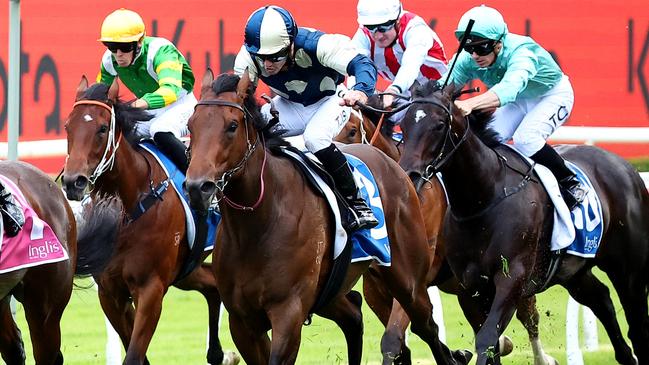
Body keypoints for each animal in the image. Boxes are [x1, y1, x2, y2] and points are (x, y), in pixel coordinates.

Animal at [60, 77, 237, 364]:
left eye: (102, 128)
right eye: (68, 126)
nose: (72, 181)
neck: (129, 211)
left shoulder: (150, 289)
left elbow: (134, 354)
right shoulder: (110, 293)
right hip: (186, 268)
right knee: (212, 286)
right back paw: (218, 353)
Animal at [182, 70, 470, 364]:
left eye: (232, 126)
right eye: (191, 125)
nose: (197, 187)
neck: (257, 224)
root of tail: (397, 168)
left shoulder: (289, 312)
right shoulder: (242, 321)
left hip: (407, 280)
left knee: (427, 327)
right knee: (354, 316)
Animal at [336, 102, 556, 364]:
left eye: (351, 131)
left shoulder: (417, 277)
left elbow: (394, 337)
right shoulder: (375, 288)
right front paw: (458, 354)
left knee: (529, 315)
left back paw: (542, 357)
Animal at [398, 80, 644, 364]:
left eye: (439, 124)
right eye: (404, 123)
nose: (409, 176)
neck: (483, 198)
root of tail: (625, 166)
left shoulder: (512, 278)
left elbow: (487, 338)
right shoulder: (471, 288)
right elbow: (489, 342)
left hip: (628, 269)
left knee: (636, 321)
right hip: (574, 271)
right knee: (602, 300)